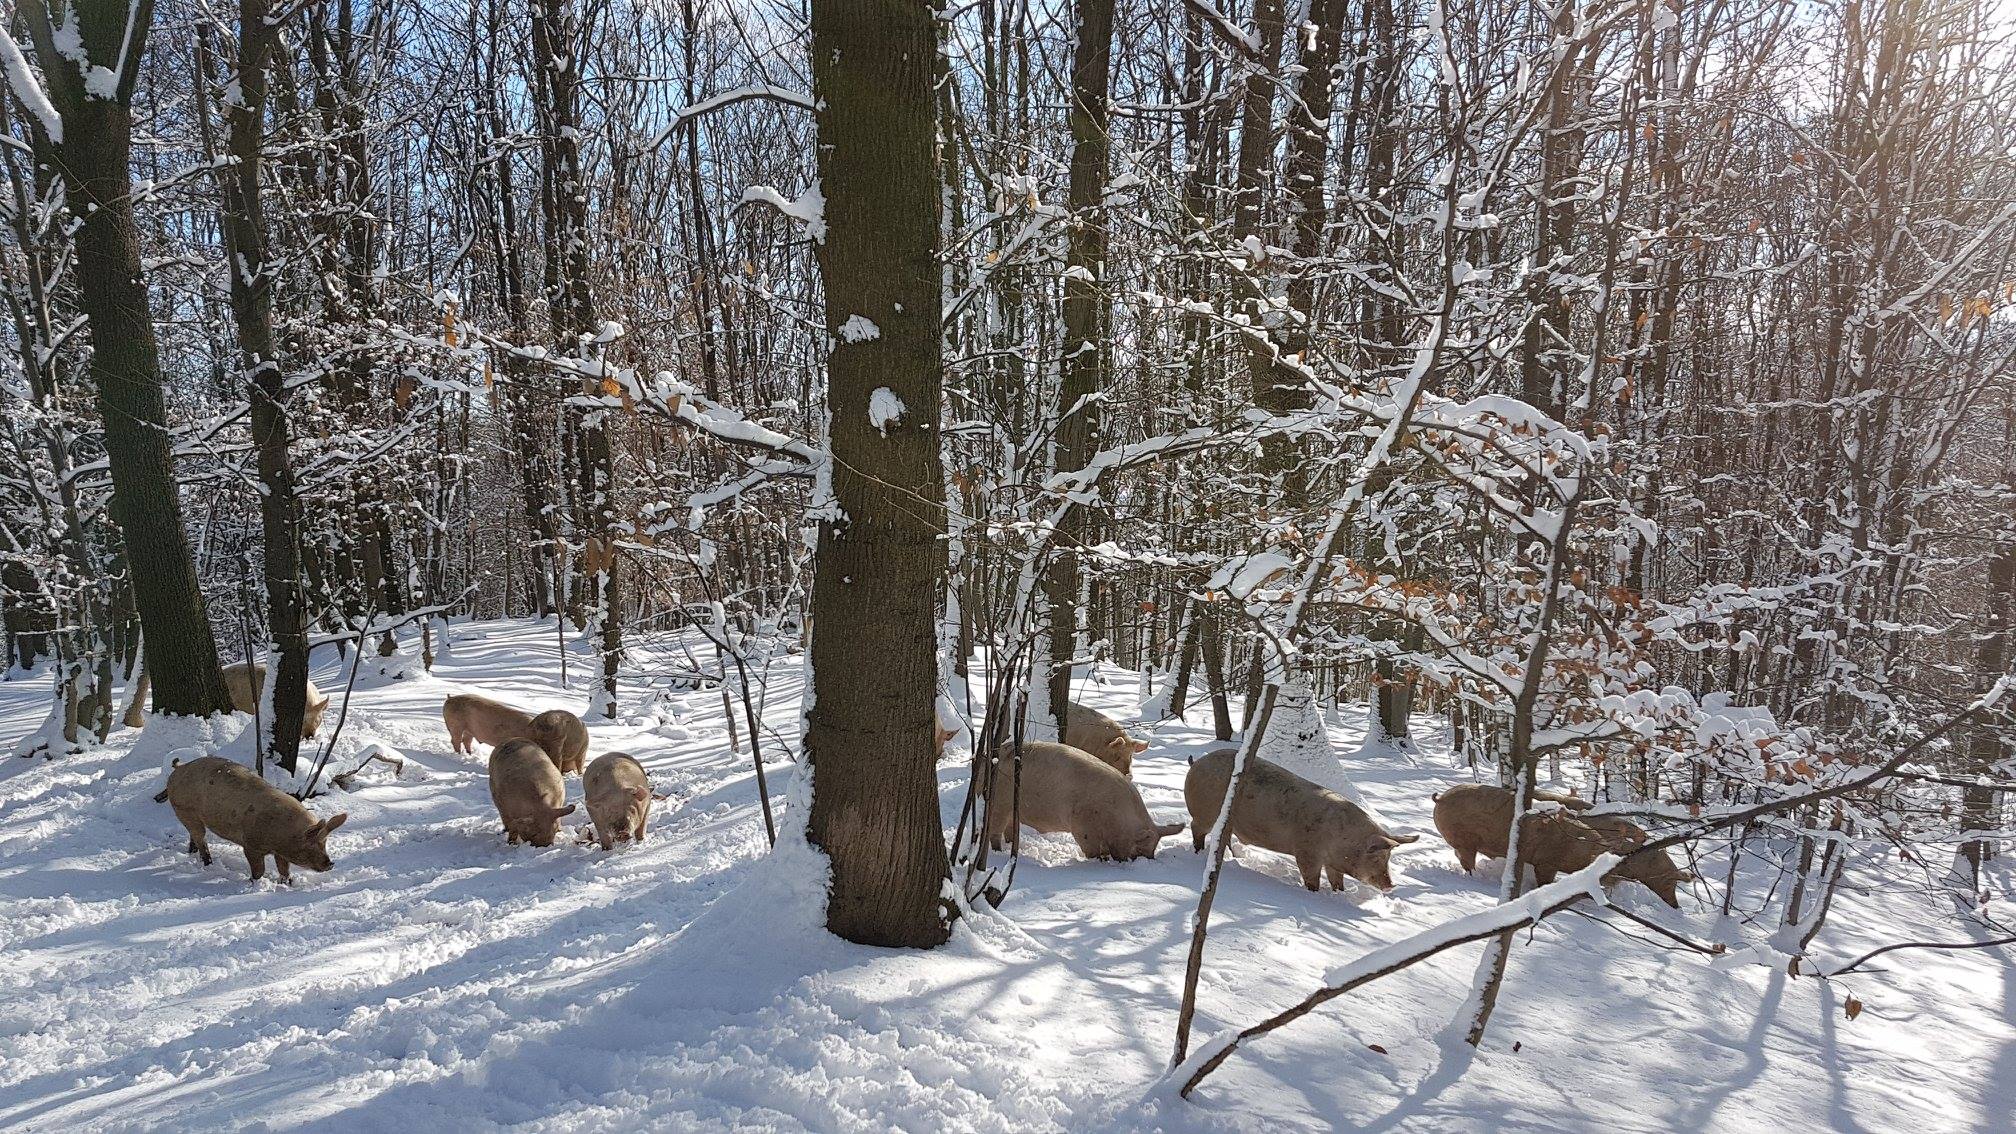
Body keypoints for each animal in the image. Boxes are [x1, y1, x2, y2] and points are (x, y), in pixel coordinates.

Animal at [153, 754, 346, 879]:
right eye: (311, 844)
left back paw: (192, 853)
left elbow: (284, 870)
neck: (283, 833)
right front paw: (255, 883)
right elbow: (258, 869)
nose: (331, 864)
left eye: (325, 842)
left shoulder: (280, 853)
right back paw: (208, 864)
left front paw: (287, 883)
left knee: (194, 837)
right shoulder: (250, 845)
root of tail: (179, 768)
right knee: (200, 838)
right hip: (185, 811)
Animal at [443, 690, 588, 774]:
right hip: (455, 725)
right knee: (455, 740)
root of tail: (449, 699)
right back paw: (459, 754)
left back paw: (469, 754)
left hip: (468, 730)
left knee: (465, 740)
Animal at [987, 742, 1185, 855]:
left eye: (1152, 851)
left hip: (1012, 808)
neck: (1120, 817)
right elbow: (1091, 850)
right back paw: (998, 852)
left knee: (1010, 829)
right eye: (1139, 847)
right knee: (995, 830)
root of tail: (1002, 751)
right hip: (1000, 800)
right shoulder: (1083, 825)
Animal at [1177, 746, 1419, 895]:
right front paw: (1314, 893)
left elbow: (1337, 881)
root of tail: (1196, 763)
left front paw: (1339, 893)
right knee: (1196, 828)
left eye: (1389, 858)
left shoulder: (1333, 863)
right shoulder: (1307, 852)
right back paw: (1199, 853)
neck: (1344, 838)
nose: (1391, 885)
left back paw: (1232, 857)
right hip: (1206, 812)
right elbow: (1311, 878)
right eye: (1376, 857)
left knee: (1223, 838)